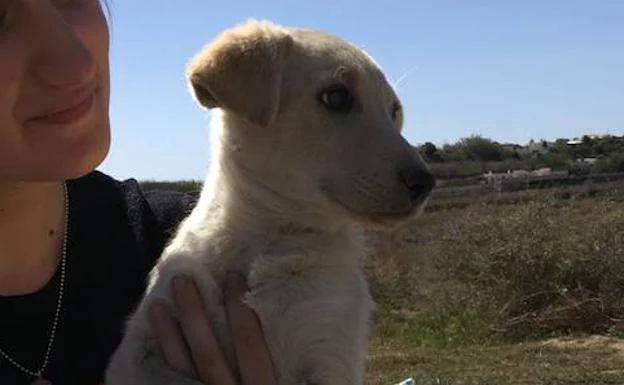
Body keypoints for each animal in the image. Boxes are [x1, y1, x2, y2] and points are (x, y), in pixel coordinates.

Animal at [103, 19, 434, 384]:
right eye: (337, 97)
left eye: (394, 112)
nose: (425, 183)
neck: (272, 237)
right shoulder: (147, 344)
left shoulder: (330, 353)